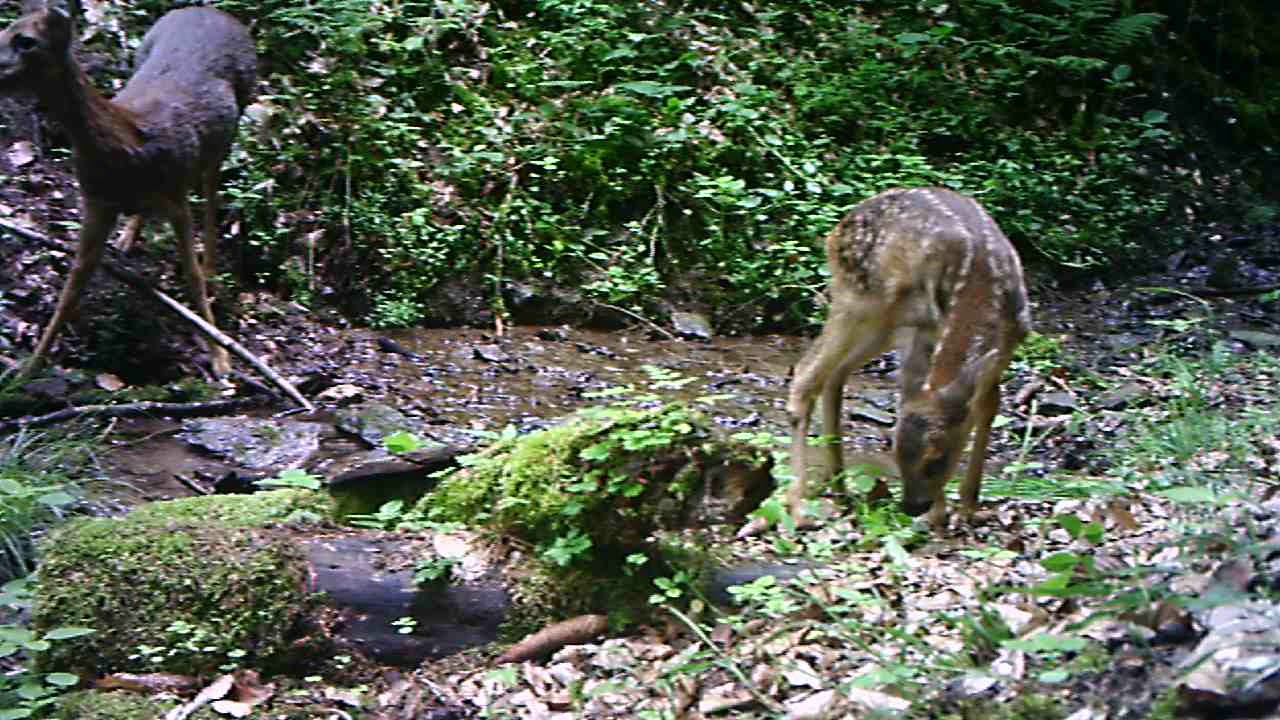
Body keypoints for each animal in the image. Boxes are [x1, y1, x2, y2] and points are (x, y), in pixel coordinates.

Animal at [0, 1, 257, 378]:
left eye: (27, 41)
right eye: (2, 31)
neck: (127, 145)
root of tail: (211, 10)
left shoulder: (175, 195)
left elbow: (192, 276)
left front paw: (221, 358)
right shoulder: (96, 202)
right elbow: (73, 283)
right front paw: (28, 369)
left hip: (236, 115)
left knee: (211, 189)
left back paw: (211, 265)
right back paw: (129, 236)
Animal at [786, 187, 1031, 531]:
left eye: (937, 459)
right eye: (897, 450)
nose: (912, 506)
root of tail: (836, 231)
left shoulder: (1008, 343)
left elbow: (987, 406)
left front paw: (967, 507)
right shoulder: (925, 331)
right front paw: (941, 513)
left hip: (883, 324)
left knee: (836, 374)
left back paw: (840, 485)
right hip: (859, 301)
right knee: (808, 373)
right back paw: (799, 507)